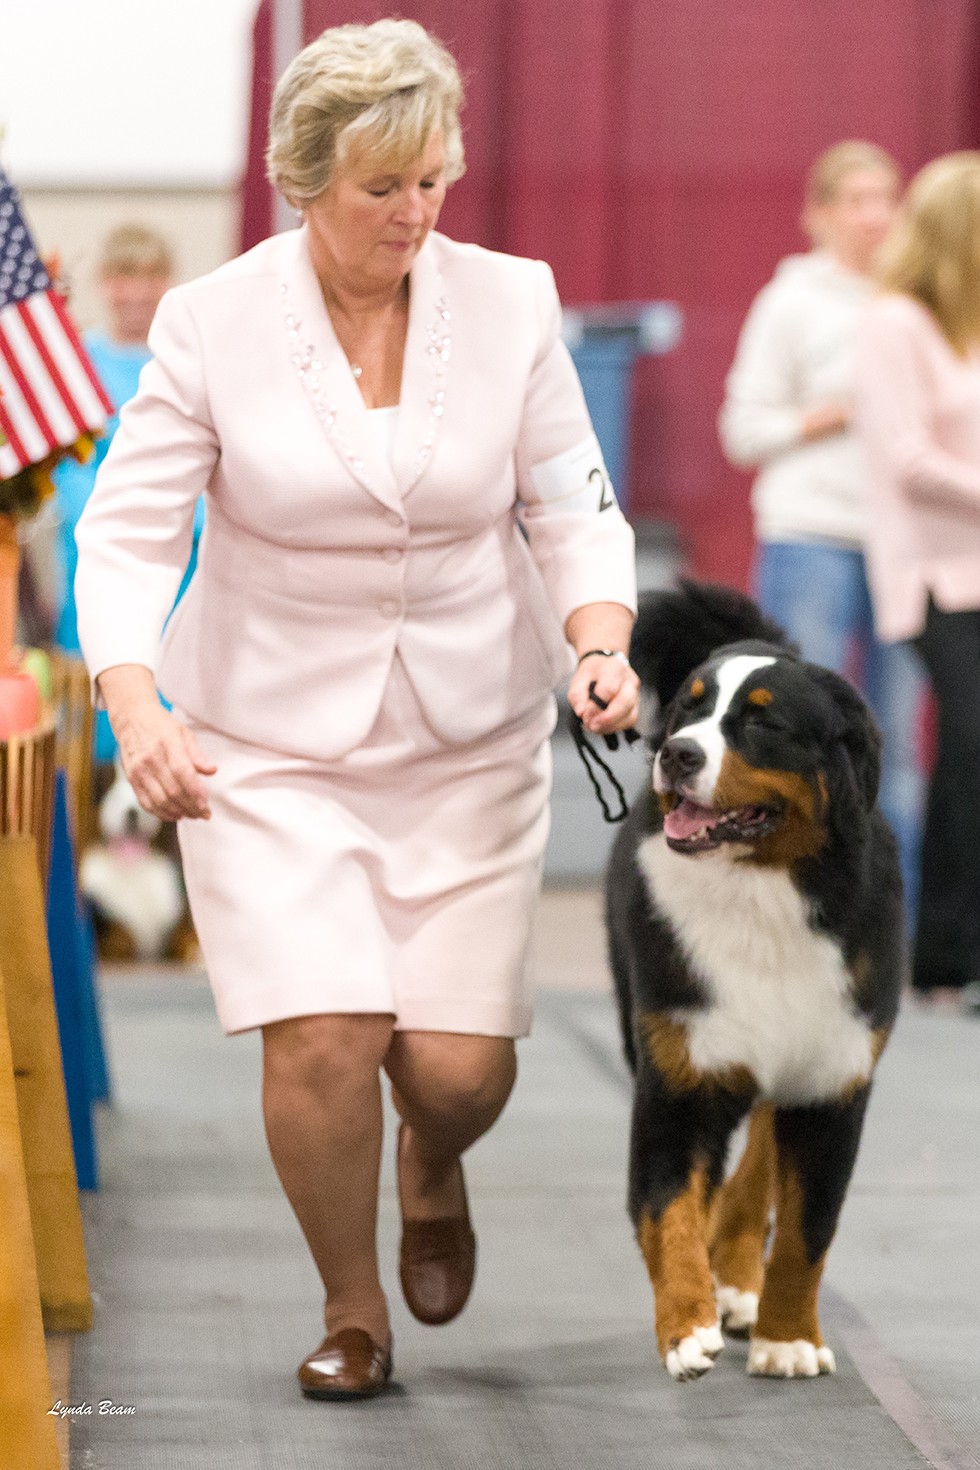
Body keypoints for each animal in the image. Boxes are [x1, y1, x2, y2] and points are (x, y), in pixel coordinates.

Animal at [605, 582, 905, 1375]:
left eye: (763, 722)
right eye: (689, 710)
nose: (677, 753)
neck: (757, 894)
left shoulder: (832, 1082)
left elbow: (806, 1231)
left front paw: (789, 1336)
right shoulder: (678, 1081)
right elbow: (670, 1211)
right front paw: (687, 1325)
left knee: (758, 1167)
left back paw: (741, 1284)